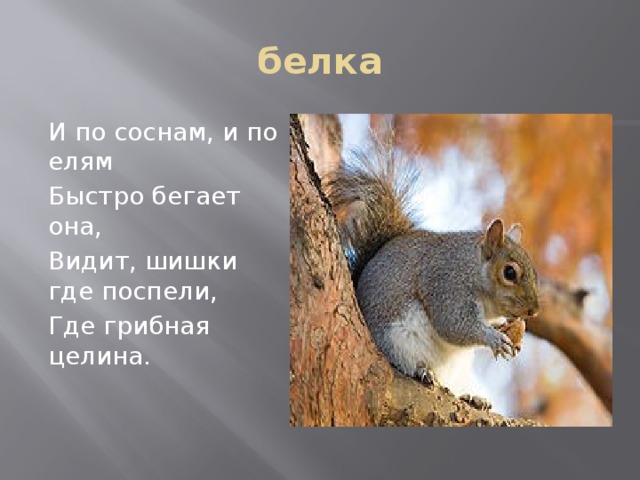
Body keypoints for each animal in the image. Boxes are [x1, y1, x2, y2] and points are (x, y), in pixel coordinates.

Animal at [327, 140, 540, 390]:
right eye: (509, 272)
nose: (534, 310)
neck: (472, 271)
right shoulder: (447, 285)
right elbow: (453, 325)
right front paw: (493, 338)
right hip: (396, 341)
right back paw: (423, 371)